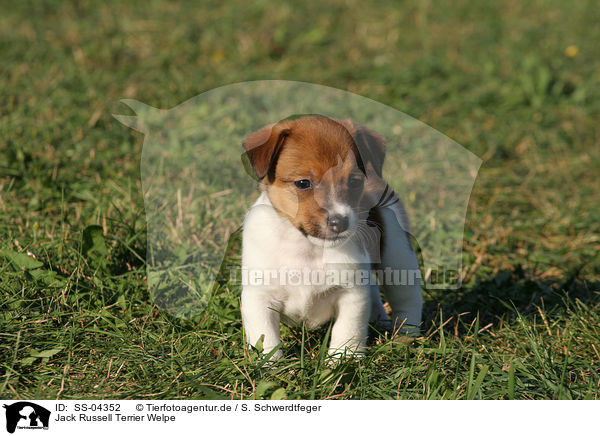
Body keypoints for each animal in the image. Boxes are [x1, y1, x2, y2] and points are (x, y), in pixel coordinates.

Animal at [239, 115, 422, 358]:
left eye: (354, 182)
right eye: (303, 183)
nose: (340, 222)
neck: (307, 249)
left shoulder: (351, 294)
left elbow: (347, 333)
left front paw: (343, 361)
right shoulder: (259, 297)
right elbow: (266, 340)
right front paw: (271, 365)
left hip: (399, 255)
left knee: (408, 299)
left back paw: (405, 336)